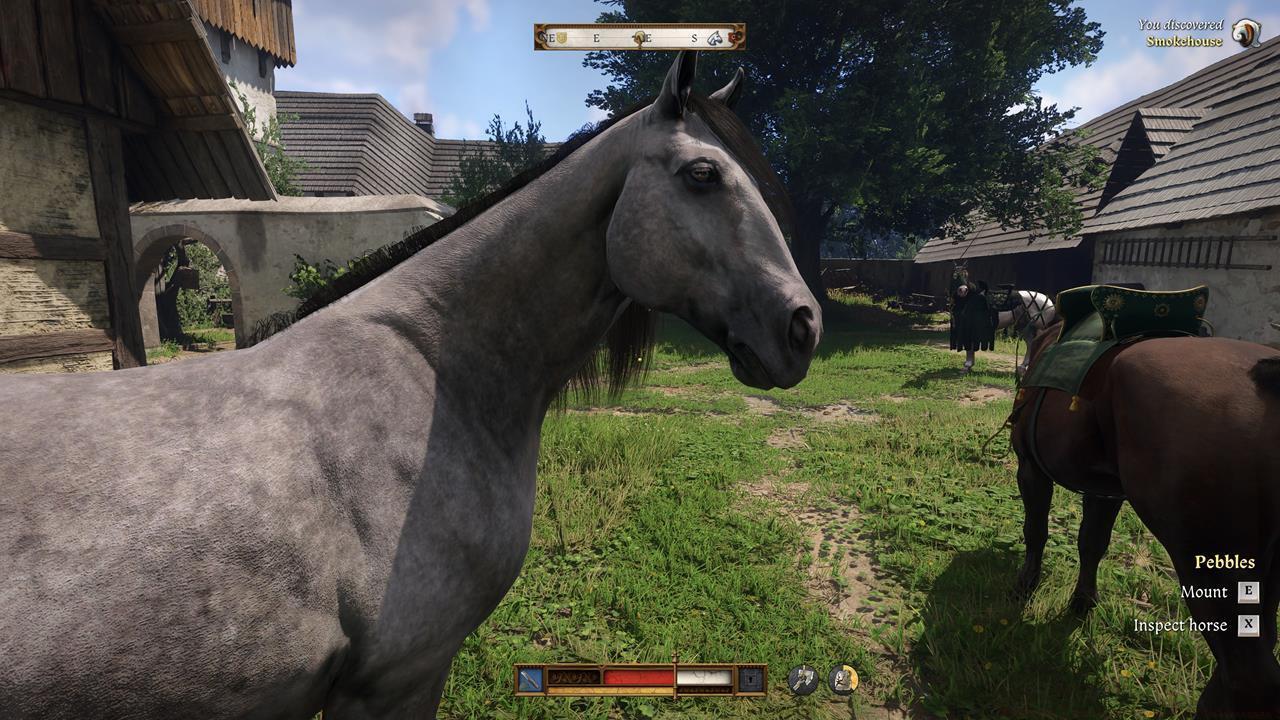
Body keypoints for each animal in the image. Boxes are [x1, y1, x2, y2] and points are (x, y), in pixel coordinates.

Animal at [1010, 319, 1280, 719]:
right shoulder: (1104, 492)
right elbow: (1091, 544)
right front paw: (1082, 603)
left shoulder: (1030, 469)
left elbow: (1036, 531)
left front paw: (1026, 584)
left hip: (1212, 567)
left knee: (1251, 678)